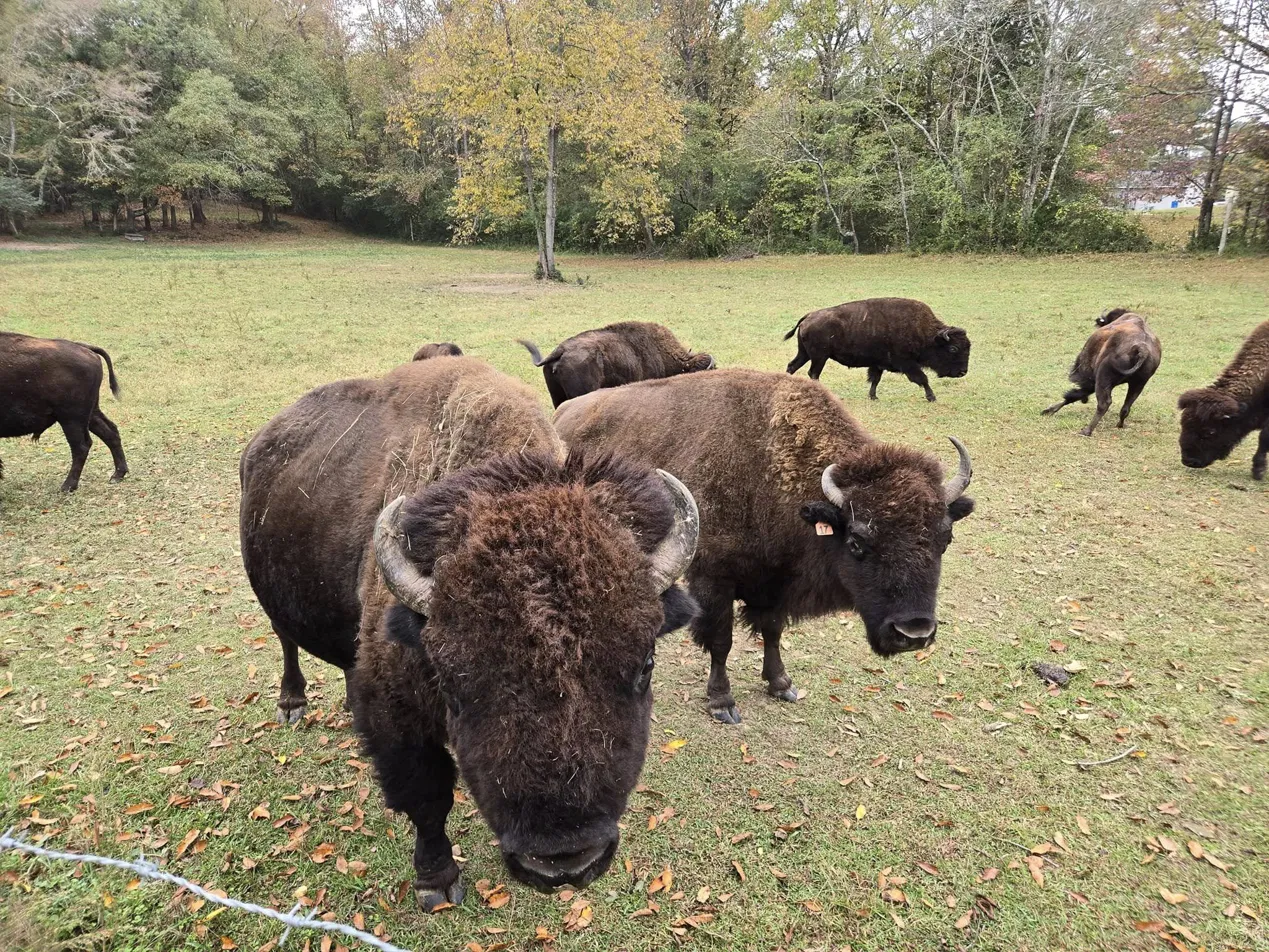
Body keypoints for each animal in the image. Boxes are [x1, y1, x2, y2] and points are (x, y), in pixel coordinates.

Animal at [0, 332, 128, 492]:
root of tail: (85, 348)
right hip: (90, 414)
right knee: (110, 433)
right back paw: (117, 475)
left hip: (71, 419)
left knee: (81, 446)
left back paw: (68, 486)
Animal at [240, 356, 700, 907]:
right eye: (452, 680)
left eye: (645, 665)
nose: (562, 860)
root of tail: (263, 441)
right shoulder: (402, 719)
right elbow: (426, 796)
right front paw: (437, 882)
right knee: (285, 639)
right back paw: (292, 704)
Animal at [556, 368, 974, 724]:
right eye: (857, 541)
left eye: (945, 539)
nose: (914, 633)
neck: (769, 466)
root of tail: (564, 413)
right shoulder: (714, 579)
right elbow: (720, 640)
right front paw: (722, 702)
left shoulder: (775, 585)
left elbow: (772, 632)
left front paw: (781, 685)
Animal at [784, 297, 971, 401]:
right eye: (953, 348)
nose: (963, 372)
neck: (924, 331)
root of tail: (808, 317)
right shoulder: (907, 364)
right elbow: (922, 379)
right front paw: (932, 397)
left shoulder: (878, 364)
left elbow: (875, 379)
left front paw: (873, 397)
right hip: (819, 357)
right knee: (813, 373)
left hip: (805, 354)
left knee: (792, 366)